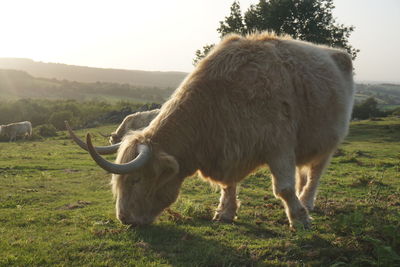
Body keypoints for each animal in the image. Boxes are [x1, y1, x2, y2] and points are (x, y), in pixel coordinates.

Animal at [67, 32, 354, 229]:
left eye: (136, 180)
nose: (124, 219)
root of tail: (337, 53)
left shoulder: (279, 145)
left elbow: (283, 188)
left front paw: (300, 219)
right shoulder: (230, 147)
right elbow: (228, 186)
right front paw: (225, 212)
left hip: (328, 141)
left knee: (314, 173)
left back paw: (306, 202)